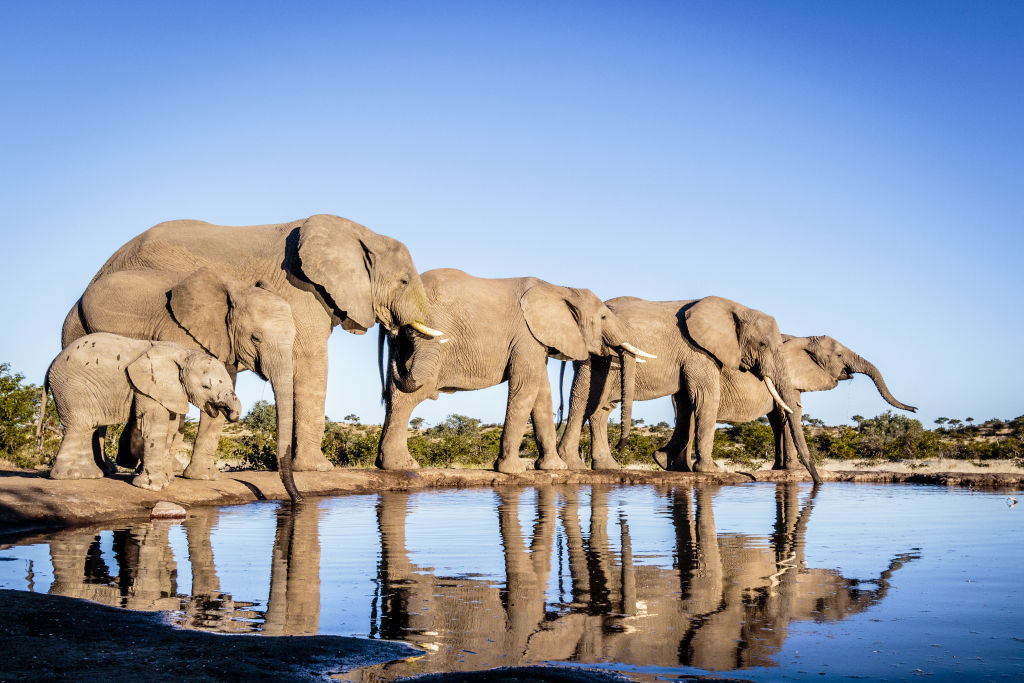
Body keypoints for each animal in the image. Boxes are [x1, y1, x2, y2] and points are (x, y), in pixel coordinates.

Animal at [47, 331, 241, 489]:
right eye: (205, 387)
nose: (228, 411)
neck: (185, 353)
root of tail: (52, 363)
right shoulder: (147, 385)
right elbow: (154, 425)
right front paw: (152, 486)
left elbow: (170, 428)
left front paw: (167, 480)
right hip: (72, 387)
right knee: (80, 425)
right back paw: (68, 477)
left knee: (89, 427)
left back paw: (89, 475)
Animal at [378, 268, 655, 475]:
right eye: (604, 318)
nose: (620, 446)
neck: (560, 289)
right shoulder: (526, 335)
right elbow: (526, 388)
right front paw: (513, 470)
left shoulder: (536, 340)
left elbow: (542, 395)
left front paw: (553, 468)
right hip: (427, 335)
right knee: (411, 391)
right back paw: (401, 466)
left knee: (394, 392)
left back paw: (388, 464)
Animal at [557, 296, 819, 483]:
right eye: (762, 344)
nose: (816, 481)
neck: (736, 308)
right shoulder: (698, 352)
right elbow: (705, 398)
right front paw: (711, 471)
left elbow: (686, 403)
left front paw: (667, 463)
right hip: (594, 358)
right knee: (583, 400)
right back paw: (573, 464)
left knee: (600, 408)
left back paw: (607, 466)